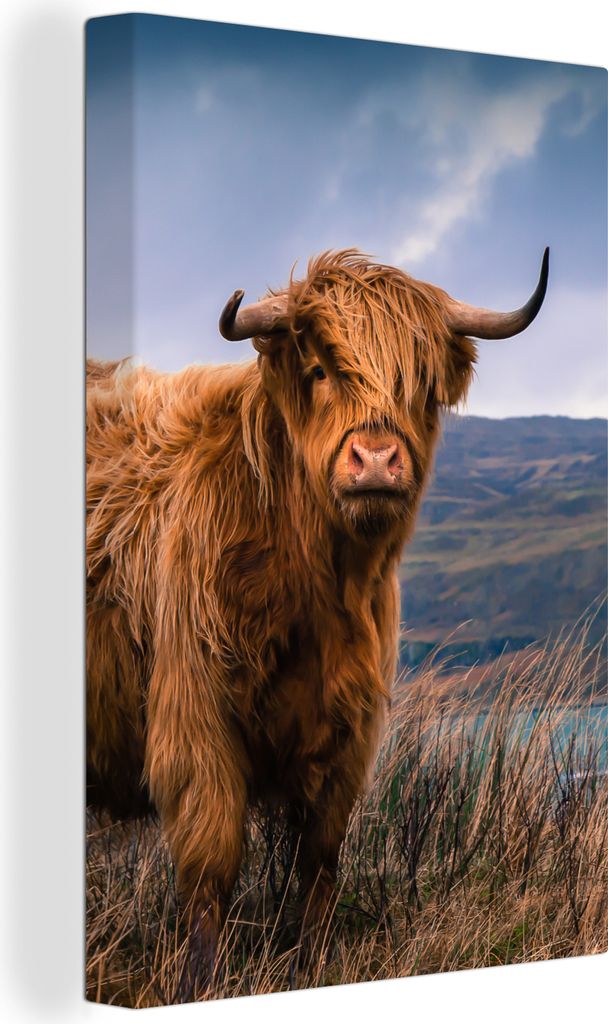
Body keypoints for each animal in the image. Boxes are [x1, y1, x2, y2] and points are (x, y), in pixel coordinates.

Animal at [86, 247, 549, 994]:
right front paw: (200, 984)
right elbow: (211, 864)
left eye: (420, 382)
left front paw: (312, 965)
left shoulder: (348, 734)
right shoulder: (196, 720)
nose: (377, 460)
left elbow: (321, 861)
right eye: (321, 369)